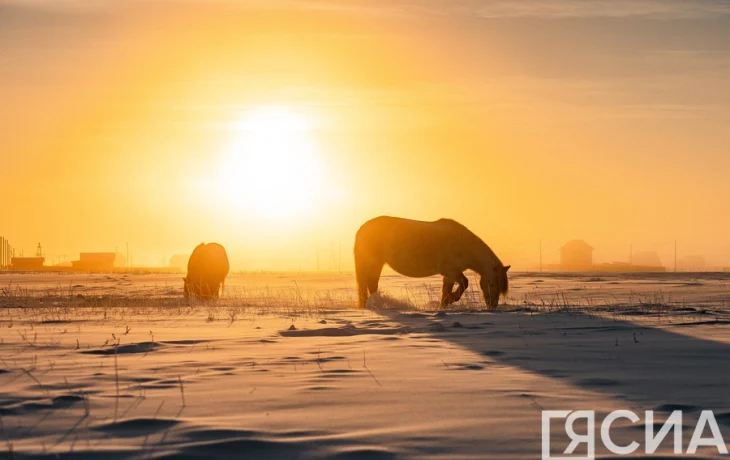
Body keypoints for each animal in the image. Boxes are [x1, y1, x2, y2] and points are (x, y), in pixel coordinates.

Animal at [354, 216, 509, 309]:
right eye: (492, 283)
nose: (492, 305)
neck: (463, 244)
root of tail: (362, 228)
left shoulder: (449, 275)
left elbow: (445, 292)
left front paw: (444, 306)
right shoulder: (451, 270)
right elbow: (464, 283)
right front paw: (452, 299)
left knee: (371, 285)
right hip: (373, 263)